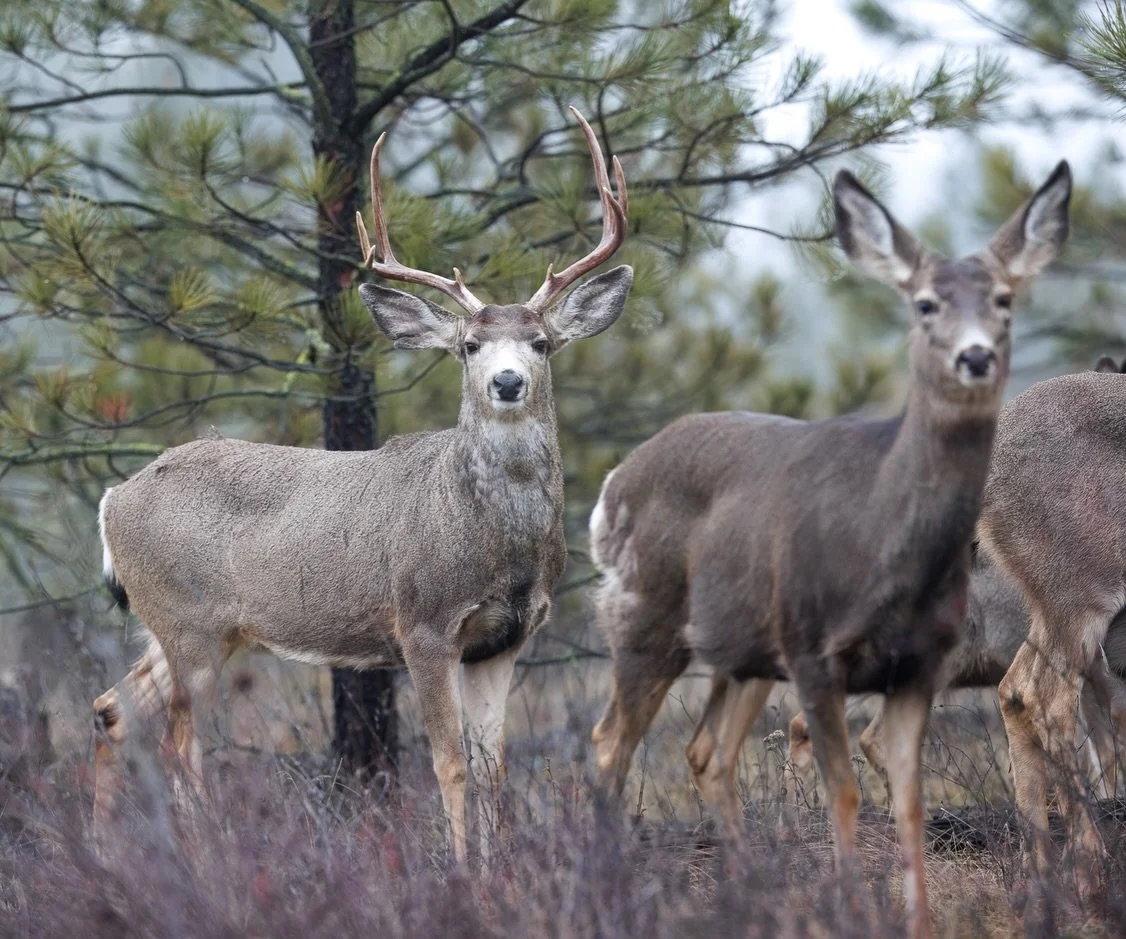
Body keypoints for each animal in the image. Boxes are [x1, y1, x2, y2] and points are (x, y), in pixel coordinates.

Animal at [92, 107, 632, 862]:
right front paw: (461, 871)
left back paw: (103, 855)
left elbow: (494, 765)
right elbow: (449, 762)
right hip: (185, 620)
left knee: (110, 709)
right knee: (177, 748)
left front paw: (502, 870)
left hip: (195, 627)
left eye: (541, 342)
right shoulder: (424, 622)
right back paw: (205, 862)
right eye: (467, 345)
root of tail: (114, 497)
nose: (506, 381)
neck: (495, 542)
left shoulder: (506, 637)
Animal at [589, 162, 1071, 938]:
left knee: (706, 753)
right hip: (647, 622)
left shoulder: (918, 666)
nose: (975, 355)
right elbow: (843, 795)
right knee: (609, 745)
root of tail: (613, 483)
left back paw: (750, 898)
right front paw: (847, 909)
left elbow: (910, 801)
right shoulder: (816, 656)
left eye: (1004, 298)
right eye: (925, 303)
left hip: (745, 653)